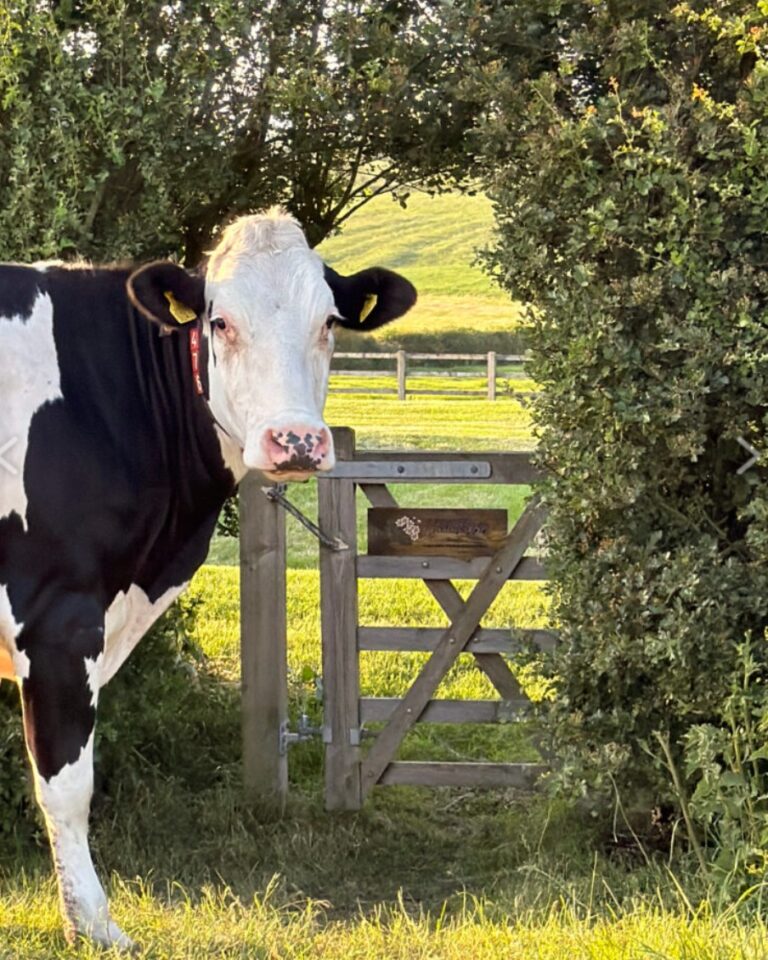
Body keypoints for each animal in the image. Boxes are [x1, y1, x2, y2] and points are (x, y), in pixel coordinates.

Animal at [0, 209, 416, 948]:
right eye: (220, 322)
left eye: (329, 321)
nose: (296, 441)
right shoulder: (56, 615)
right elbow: (67, 784)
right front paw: (95, 926)